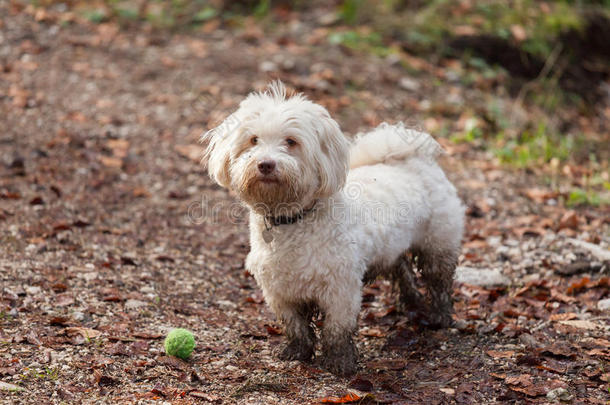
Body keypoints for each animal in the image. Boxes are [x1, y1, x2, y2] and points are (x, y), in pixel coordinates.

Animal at [202, 82, 464, 376]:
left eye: (291, 142)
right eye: (253, 140)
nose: (266, 164)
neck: (292, 219)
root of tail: (414, 158)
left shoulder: (341, 289)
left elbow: (337, 330)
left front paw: (340, 363)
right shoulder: (279, 292)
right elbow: (295, 325)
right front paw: (297, 352)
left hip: (438, 244)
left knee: (439, 281)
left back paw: (439, 317)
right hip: (392, 248)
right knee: (402, 271)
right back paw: (411, 303)